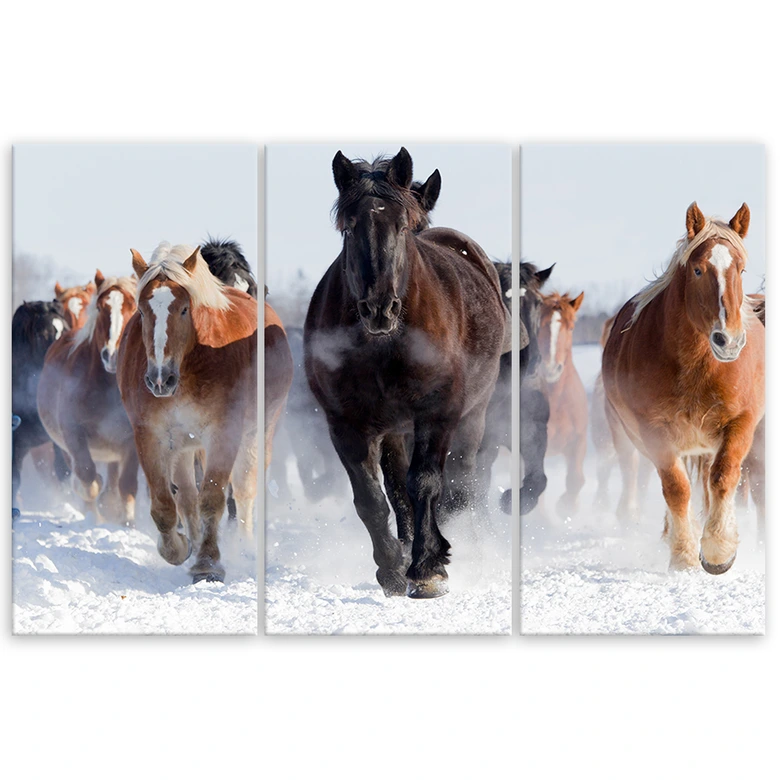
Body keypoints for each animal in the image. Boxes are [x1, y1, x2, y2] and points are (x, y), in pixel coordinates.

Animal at [37, 271, 139, 525]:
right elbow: (86, 476)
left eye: (133, 307)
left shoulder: (133, 439)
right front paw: (94, 515)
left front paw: (127, 521)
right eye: (101, 307)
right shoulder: (73, 434)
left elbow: (127, 483)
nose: (112, 355)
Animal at [118, 243, 257, 583]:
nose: (159, 379)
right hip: (183, 445)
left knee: (243, 491)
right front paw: (179, 548)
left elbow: (213, 498)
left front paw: (208, 564)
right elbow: (165, 505)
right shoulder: (150, 435)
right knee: (186, 496)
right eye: (142, 311)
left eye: (184, 309)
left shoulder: (223, 433)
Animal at [304, 148, 508, 598]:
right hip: (395, 429)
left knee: (459, 484)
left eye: (402, 226)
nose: (380, 307)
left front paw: (428, 567)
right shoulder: (347, 424)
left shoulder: (437, 413)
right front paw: (393, 568)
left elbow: (426, 484)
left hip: (473, 416)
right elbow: (372, 498)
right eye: (349, 228)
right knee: (399, 489)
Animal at [602, 203, 764, 574]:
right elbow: (676, 488)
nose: (728, 340)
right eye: (698, 270)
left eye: (742, 269)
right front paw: (684, 555)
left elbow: (723, 477)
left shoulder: (742, 422)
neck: (696, 367)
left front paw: (719, 550)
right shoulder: (653, 431)